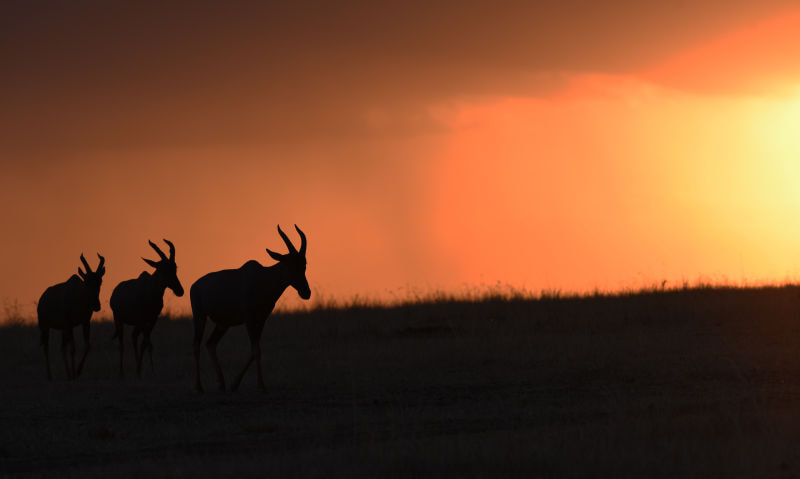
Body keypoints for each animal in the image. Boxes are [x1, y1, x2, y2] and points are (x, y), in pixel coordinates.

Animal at [109, 240, 184, 378]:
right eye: (162, 269)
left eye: (175, 268)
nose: (180, 291)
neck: (151, 290)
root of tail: (115, 291)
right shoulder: (143, 319)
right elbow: (146, 342)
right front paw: (143, 371)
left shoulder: (153, 319)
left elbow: (146, 343)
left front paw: (148, 371)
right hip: (118, 319)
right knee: (122, 343)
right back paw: (121, 373)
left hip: (137, 323)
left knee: (134, 336)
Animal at [191, 225, 310, 394]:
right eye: (290, 265)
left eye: (304, 264)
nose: (306, 292)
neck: (263, 278)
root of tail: (195, 285)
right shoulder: (249, 319)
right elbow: (255, 350)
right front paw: (261, 386)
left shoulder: (261, 320)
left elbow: (255, 350)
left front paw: (235, 385)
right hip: (199, 316)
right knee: (196, 345)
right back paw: (199, 387)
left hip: (223, 324)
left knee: (210, 344)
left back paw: (222, 385)